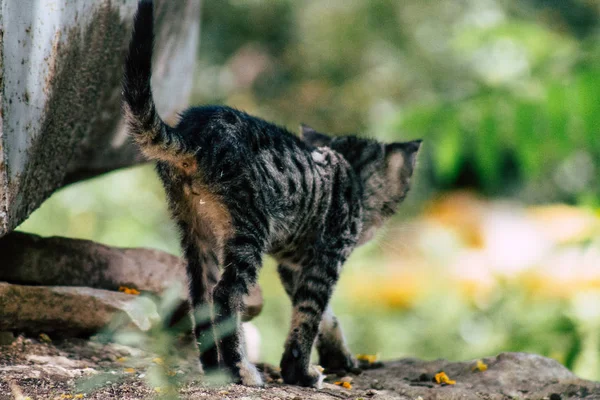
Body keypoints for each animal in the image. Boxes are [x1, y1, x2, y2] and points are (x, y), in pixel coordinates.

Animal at [122, 0, 422, 390]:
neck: (350, 171)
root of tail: (194, 130)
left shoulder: (294, 264)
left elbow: (324, 314)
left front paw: (338, 356)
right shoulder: (327, 255)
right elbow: (310, 313)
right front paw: (301, 371)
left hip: (196, 230)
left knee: (200, 297)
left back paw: (215, 368)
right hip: (249, 227)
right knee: (226, 295)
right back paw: (242, 370)